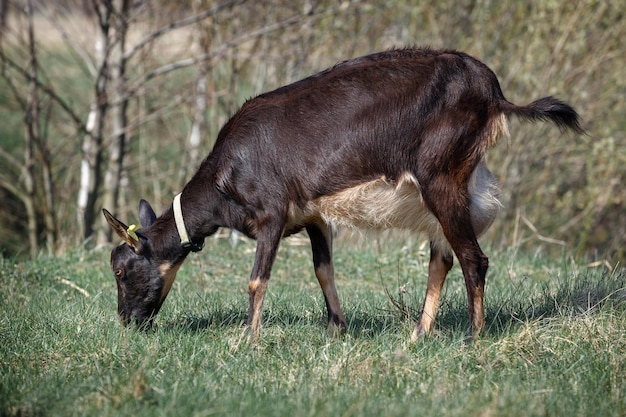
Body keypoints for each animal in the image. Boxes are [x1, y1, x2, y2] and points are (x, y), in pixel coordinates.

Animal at [101, 47, 580, 340]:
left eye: (120, 271)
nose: (126, 322)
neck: (226, 176)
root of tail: (494, 91)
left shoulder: (272, 213)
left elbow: (258, 279)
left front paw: (247, 341)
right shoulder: (312, 216)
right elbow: (322, 270)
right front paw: (337, 328)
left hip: (441, 177)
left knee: (472, 258)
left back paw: (472, 337)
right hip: (453, 185)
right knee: (442, 257)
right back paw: (418, 334)